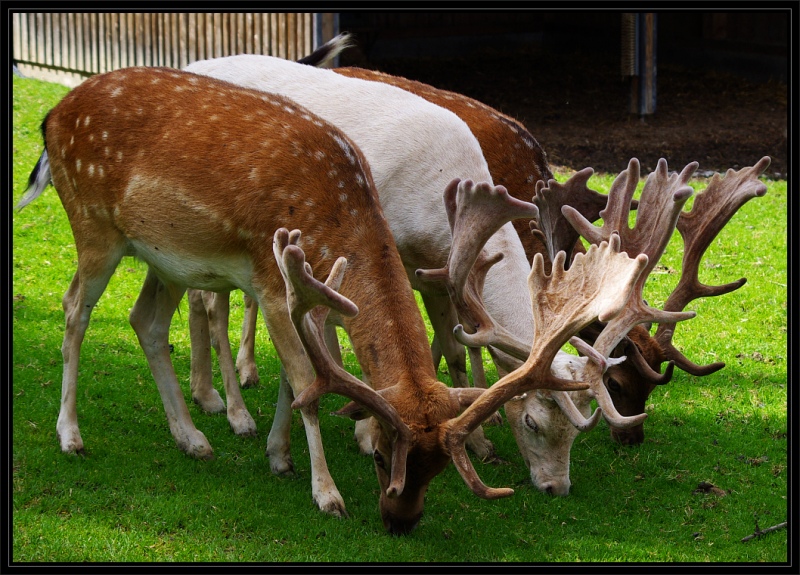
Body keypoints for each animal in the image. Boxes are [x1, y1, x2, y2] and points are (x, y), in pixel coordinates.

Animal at [14, 66, 588, 532]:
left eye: (438, 467)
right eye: (383, 458)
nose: (400, 522)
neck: (333, 218)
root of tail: (51, 116)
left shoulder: (314, 297)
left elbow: (300, 381)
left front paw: (278, 454)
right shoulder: (275, 284)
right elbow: (309, 383)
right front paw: (326, 492)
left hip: (166, 256)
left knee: (147, 322)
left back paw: (193, 438)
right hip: (93, 225)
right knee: (75, 310)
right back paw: (73, 434)